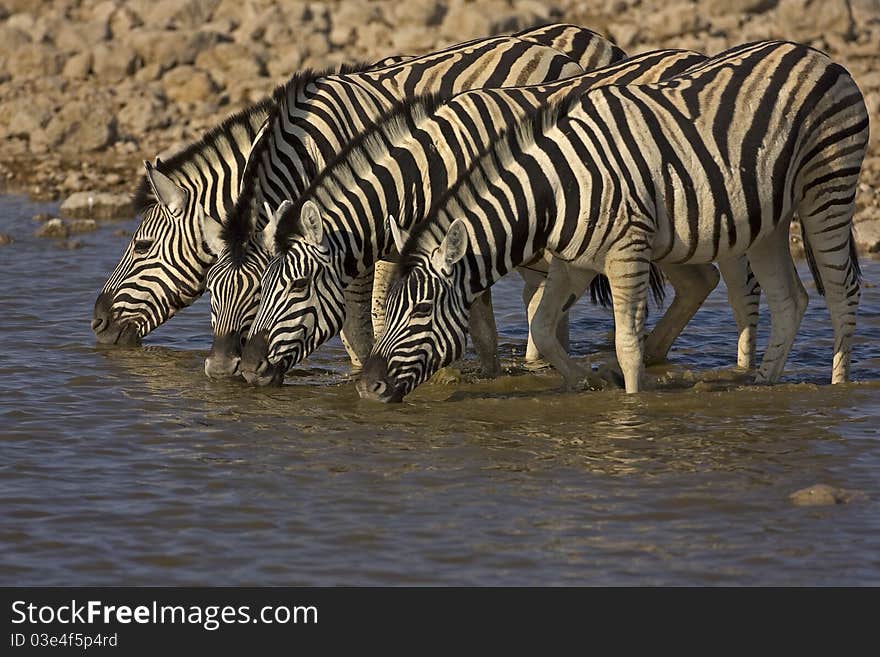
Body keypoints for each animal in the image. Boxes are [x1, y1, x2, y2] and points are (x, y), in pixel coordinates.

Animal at [237, 48, 760, 386]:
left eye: (295, 287)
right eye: (261, 288)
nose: (247, 370)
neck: (432, 166)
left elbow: (479, 327)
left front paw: (471, 377)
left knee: (739, 288)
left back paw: (740, 372)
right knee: (699, 282)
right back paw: (651, 358)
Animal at [360, 41, 868, 402]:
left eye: (421, 310)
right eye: (388, 312)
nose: (368, 387)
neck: (556, 191)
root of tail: (816, 54)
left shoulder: (627, 251)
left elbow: (626, 343)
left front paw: (630, 404)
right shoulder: (574, 261)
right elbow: (542, 328)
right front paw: (587, 381)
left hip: (827, 186)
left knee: (841, 290)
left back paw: (839, 388)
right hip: (768, 219)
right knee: (791, 301)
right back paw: (764, 384)